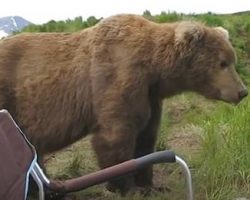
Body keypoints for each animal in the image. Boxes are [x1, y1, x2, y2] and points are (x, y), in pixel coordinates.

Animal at [0, 14, 247, 194]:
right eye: (222, 63)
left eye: (232, 59)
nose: (242, 91)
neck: (154, 68)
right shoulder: (117, 77)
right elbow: (116, 136)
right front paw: (124, 187)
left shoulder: (150, 96)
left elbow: (146, 137)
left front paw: (149, 183)